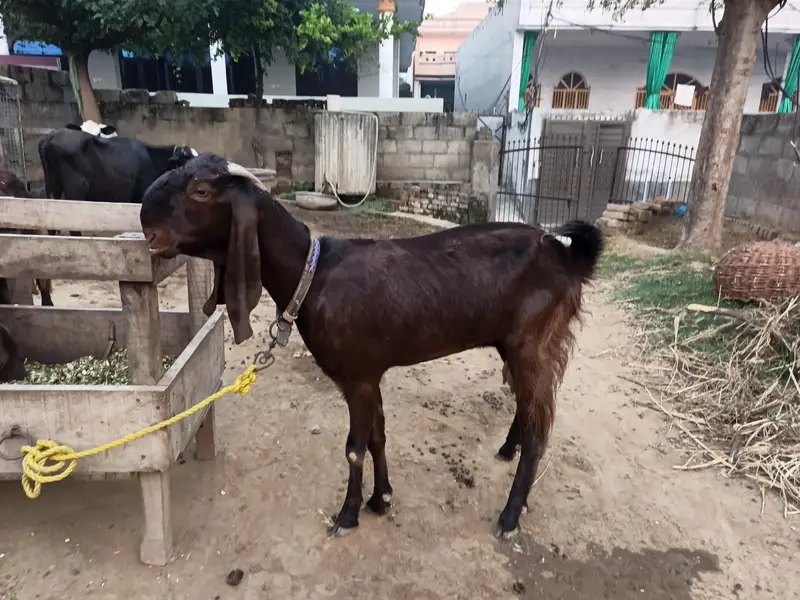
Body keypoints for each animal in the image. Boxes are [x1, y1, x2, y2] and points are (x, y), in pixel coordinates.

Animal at [139, 154, 604, 539]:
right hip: (515, 346)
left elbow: (354, 448)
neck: (313, 275)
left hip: (534, 344)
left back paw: (509, 517)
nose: (147, 226)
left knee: (541, 429)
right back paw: (509, 449)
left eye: (201, 191)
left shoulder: (358, 376)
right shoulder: (369, 375)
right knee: (527, 409)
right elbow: (378, 436)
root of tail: (566, 256)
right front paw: (381, 499)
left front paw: (347, 515)